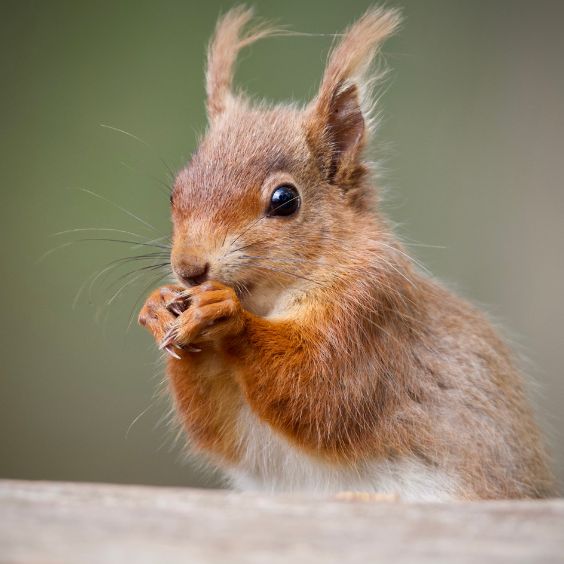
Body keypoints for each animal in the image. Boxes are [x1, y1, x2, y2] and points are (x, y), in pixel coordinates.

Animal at [138, 6, 556, 500]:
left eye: (285, 200)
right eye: (175, 193)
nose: (189, 268)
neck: (266, 298)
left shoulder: (369, 315)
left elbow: (320, 389)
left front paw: (225, 313)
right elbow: (216, 426)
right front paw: (157, 306)